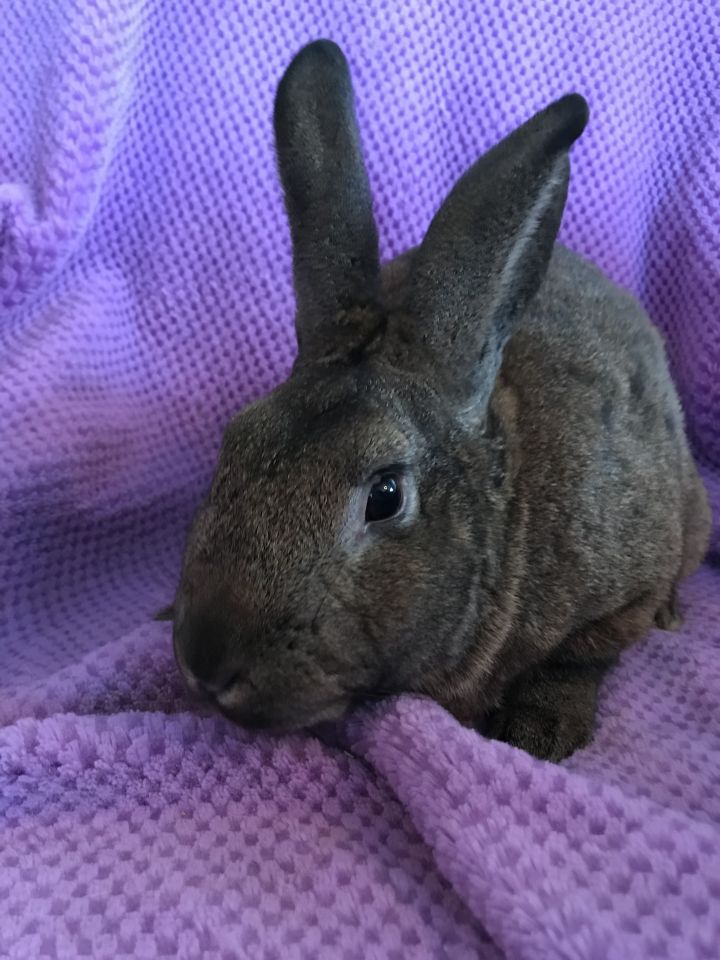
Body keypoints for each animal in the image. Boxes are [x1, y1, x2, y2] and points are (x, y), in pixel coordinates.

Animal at [169, 39, 711, 762]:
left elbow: (579, 659)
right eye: (233, 443)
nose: (206, 661)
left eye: (386, 496)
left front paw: (540, 733)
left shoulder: (623, 592)